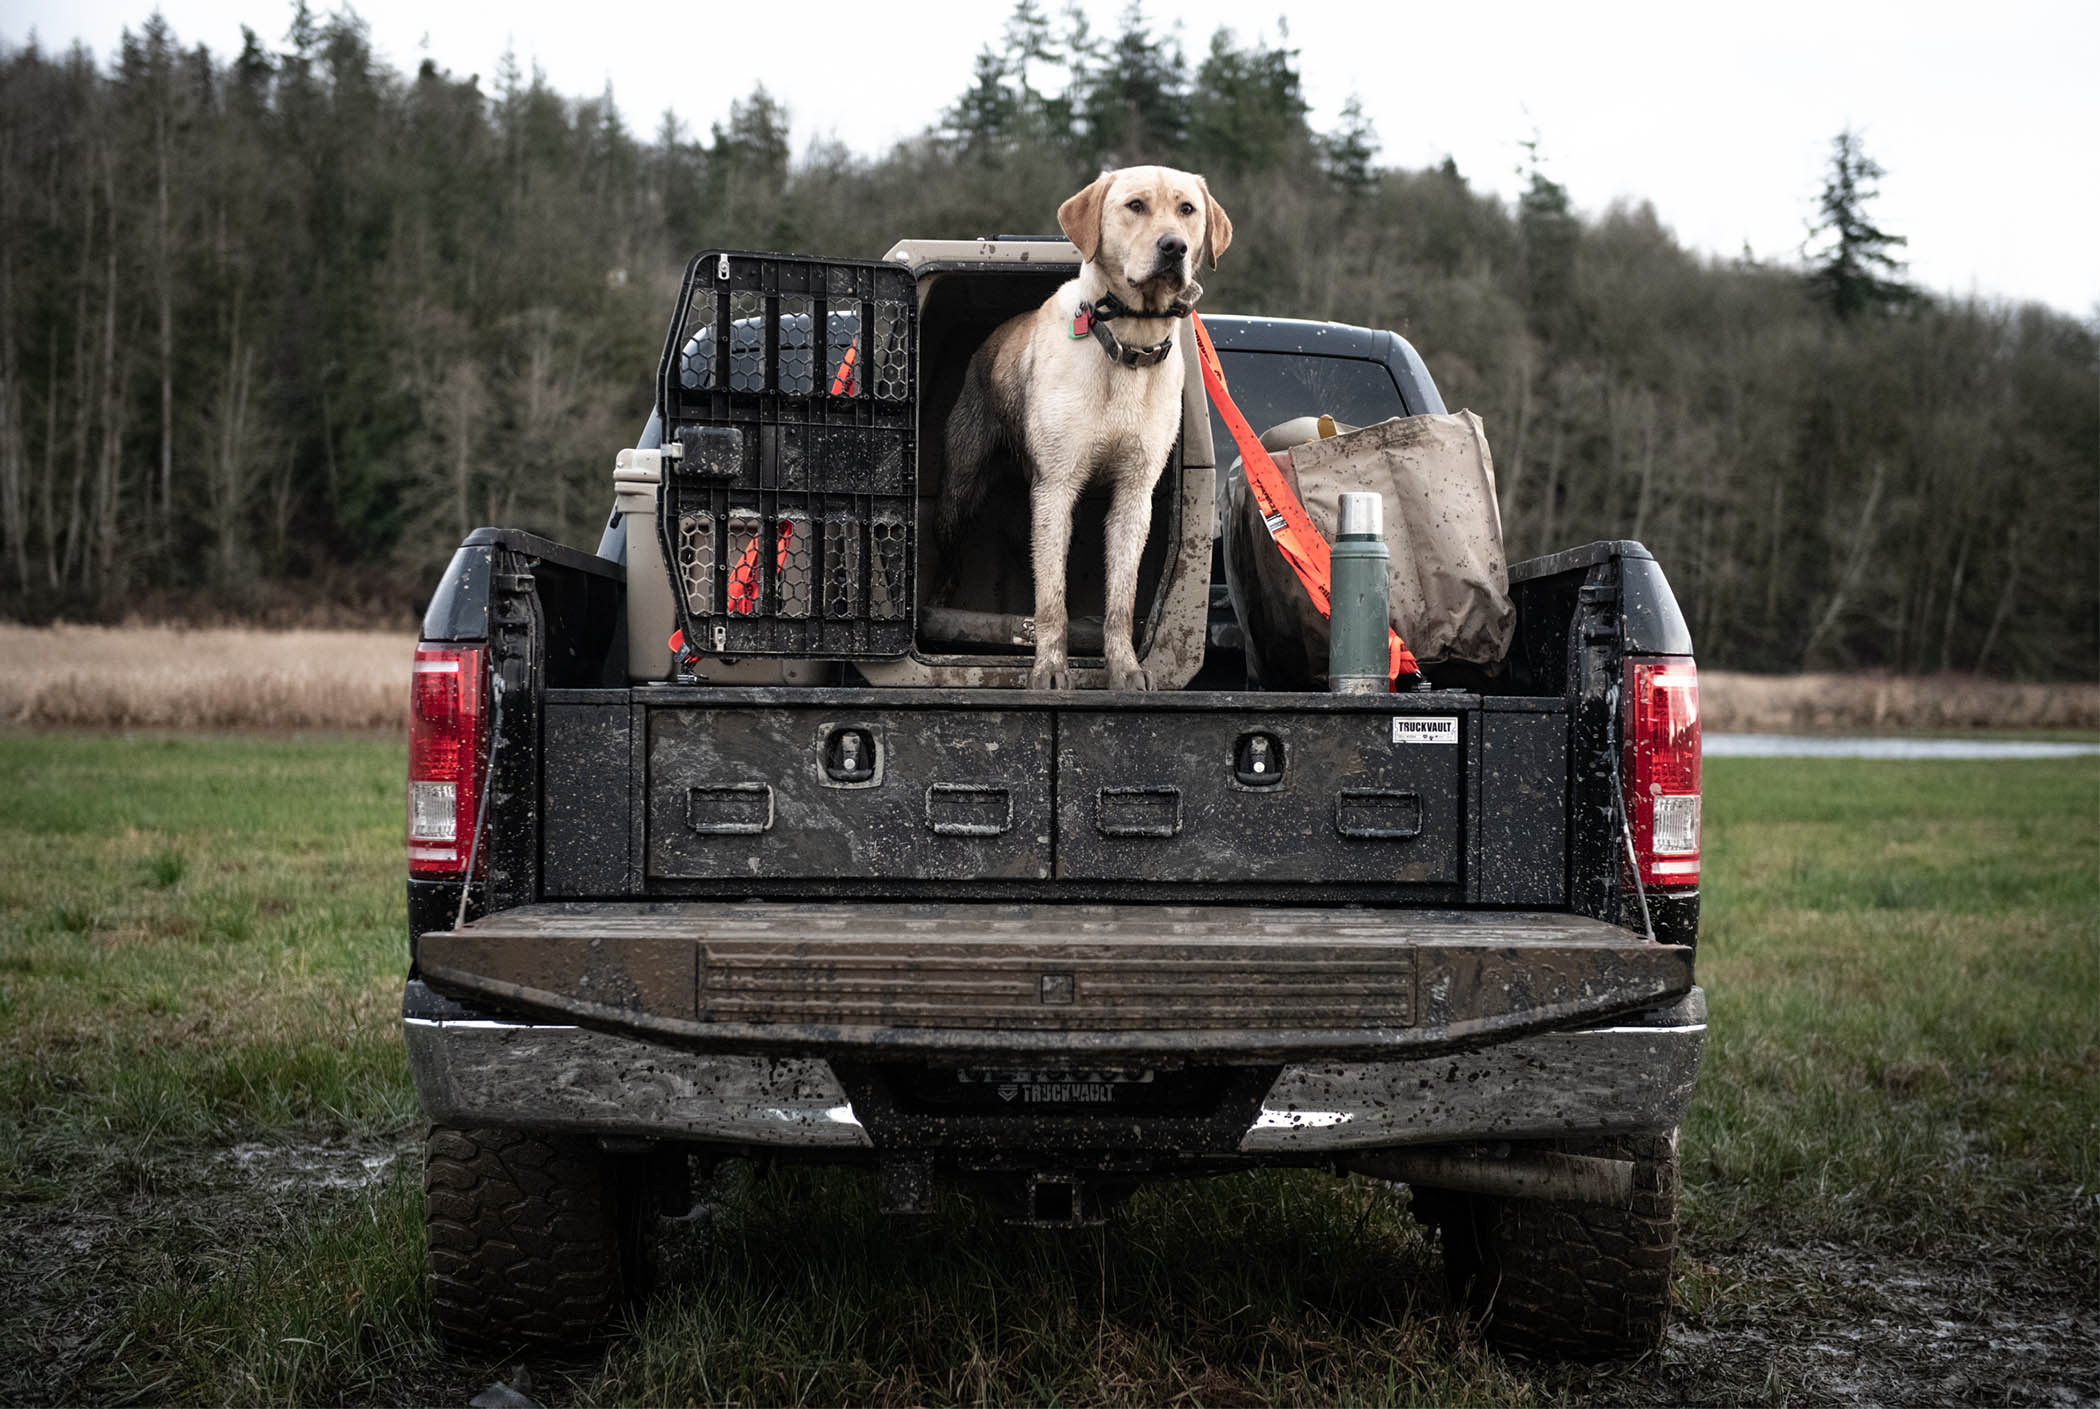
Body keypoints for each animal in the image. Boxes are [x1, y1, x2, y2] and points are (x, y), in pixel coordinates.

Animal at [940, 165, 1226, 688]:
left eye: (1187, 209)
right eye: (1135, 205)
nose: (1173, 246)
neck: (1128, 346)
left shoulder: (1134, 493)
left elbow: (1120, 599)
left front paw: (1126, 668)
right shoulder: (1057, 486)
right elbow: (1051, 598)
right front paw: (1050, 670)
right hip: (962, 488)